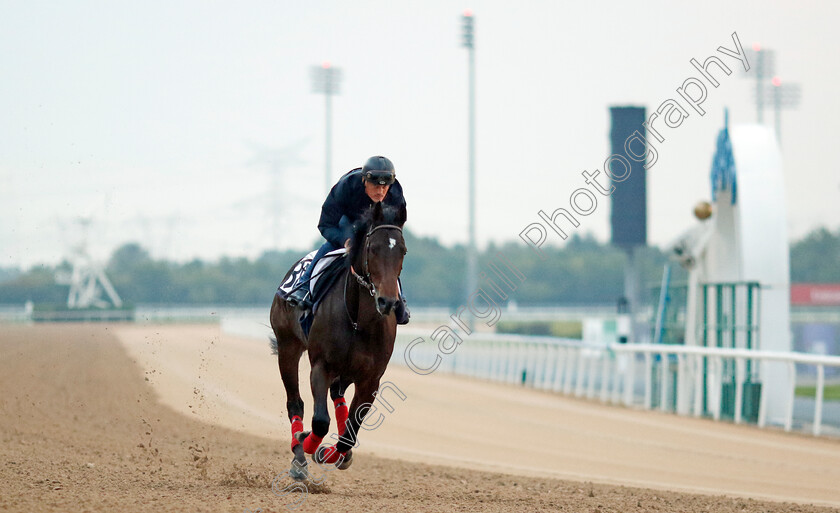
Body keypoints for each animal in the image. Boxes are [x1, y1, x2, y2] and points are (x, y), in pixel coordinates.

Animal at [270, 199, 406, 476]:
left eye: (403, 251)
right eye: (373, 249)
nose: (387, 302)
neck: (358, 321)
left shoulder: (371, 379)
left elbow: (350, 434)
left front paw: (332, 453)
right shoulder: (321, 366)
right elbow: (320, 421)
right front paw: (307, 443)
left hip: (347, 370)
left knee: (337, 395)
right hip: (288, 347)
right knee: (295, 403)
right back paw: (299, 457)